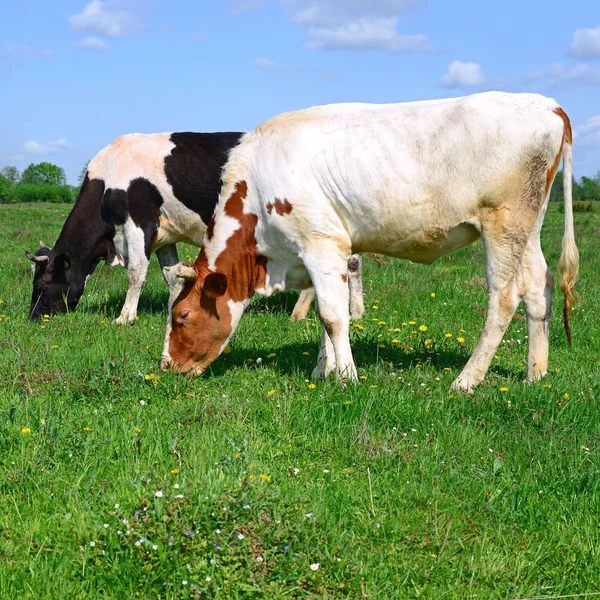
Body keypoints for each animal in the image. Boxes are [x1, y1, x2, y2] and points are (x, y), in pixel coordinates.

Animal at [25, 134, 364, 326]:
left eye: (41, 285)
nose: (32, 319)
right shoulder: (164, 236)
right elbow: (171, 274)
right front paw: (178, 306)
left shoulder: (139, 224)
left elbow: (135, 273)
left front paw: (124, 317)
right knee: (348, 264)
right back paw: (343, 312)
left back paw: (315, 312)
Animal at [163, 92, 576, 394]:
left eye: (181, 316)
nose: (166, 366)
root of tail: (547, 104)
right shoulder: (323, 253)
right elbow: (327, 314)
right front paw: (322, 370)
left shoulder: (321, 244)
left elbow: (333, 317)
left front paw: (346, 377)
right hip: (528, 225)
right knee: (538, 286)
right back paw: (535, 374)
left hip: (502, 224)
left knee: (503, 298)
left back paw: (466, 380)